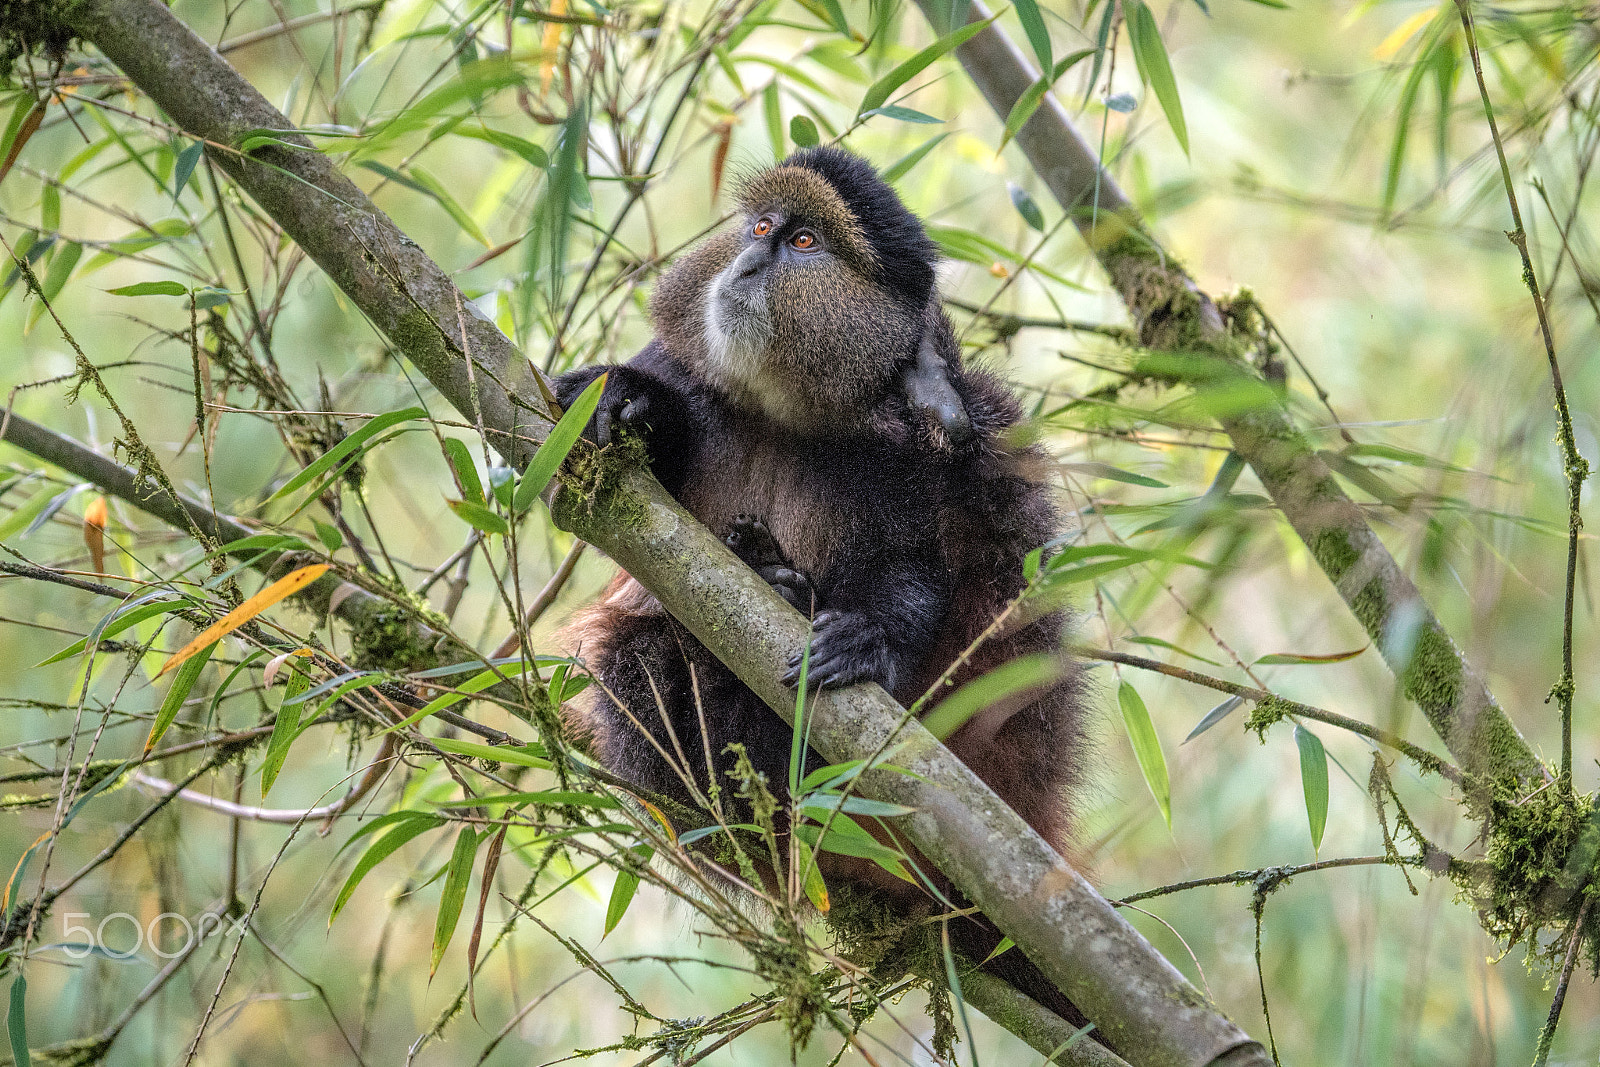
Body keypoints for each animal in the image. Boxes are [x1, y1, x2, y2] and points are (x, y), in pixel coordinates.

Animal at [553, 146, 1091, 1030]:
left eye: (804, 243)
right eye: (761, 228)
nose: (747, 262)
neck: (782, 411)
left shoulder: (892, 452)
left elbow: (916, 566)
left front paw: (869, 633)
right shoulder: (678, 367)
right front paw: (629, 403)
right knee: (642, 658)